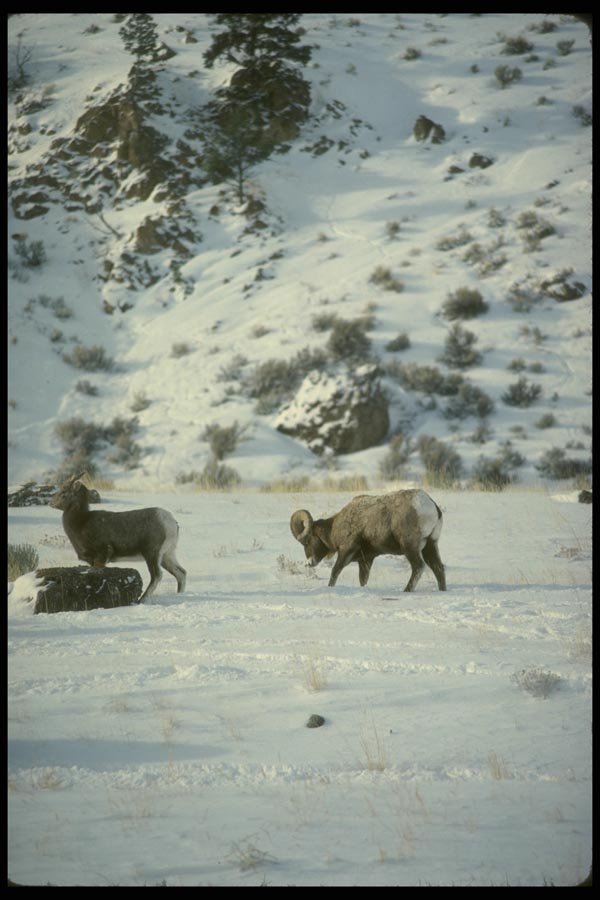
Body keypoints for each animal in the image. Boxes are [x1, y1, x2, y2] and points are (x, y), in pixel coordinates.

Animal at [50, 474, 186, 601]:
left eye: (64, 491)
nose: (51, 503)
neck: (81, 523)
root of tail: (171, 522)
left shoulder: (102, 555)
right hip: (167, 555)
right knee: (181, 573)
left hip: (152, 554)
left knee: (157, 575)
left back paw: (141, 600)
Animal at [290, 488, 446, 592]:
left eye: (307, 541)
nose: (310, 563)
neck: (335, 528)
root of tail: (432, 507)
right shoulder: (366, 560)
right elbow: (363, 580)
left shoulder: (346, 550)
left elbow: (335, 572)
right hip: (430, 545)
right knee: (438, 568)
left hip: (410, 547)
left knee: (418, 567)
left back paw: (406, 591)